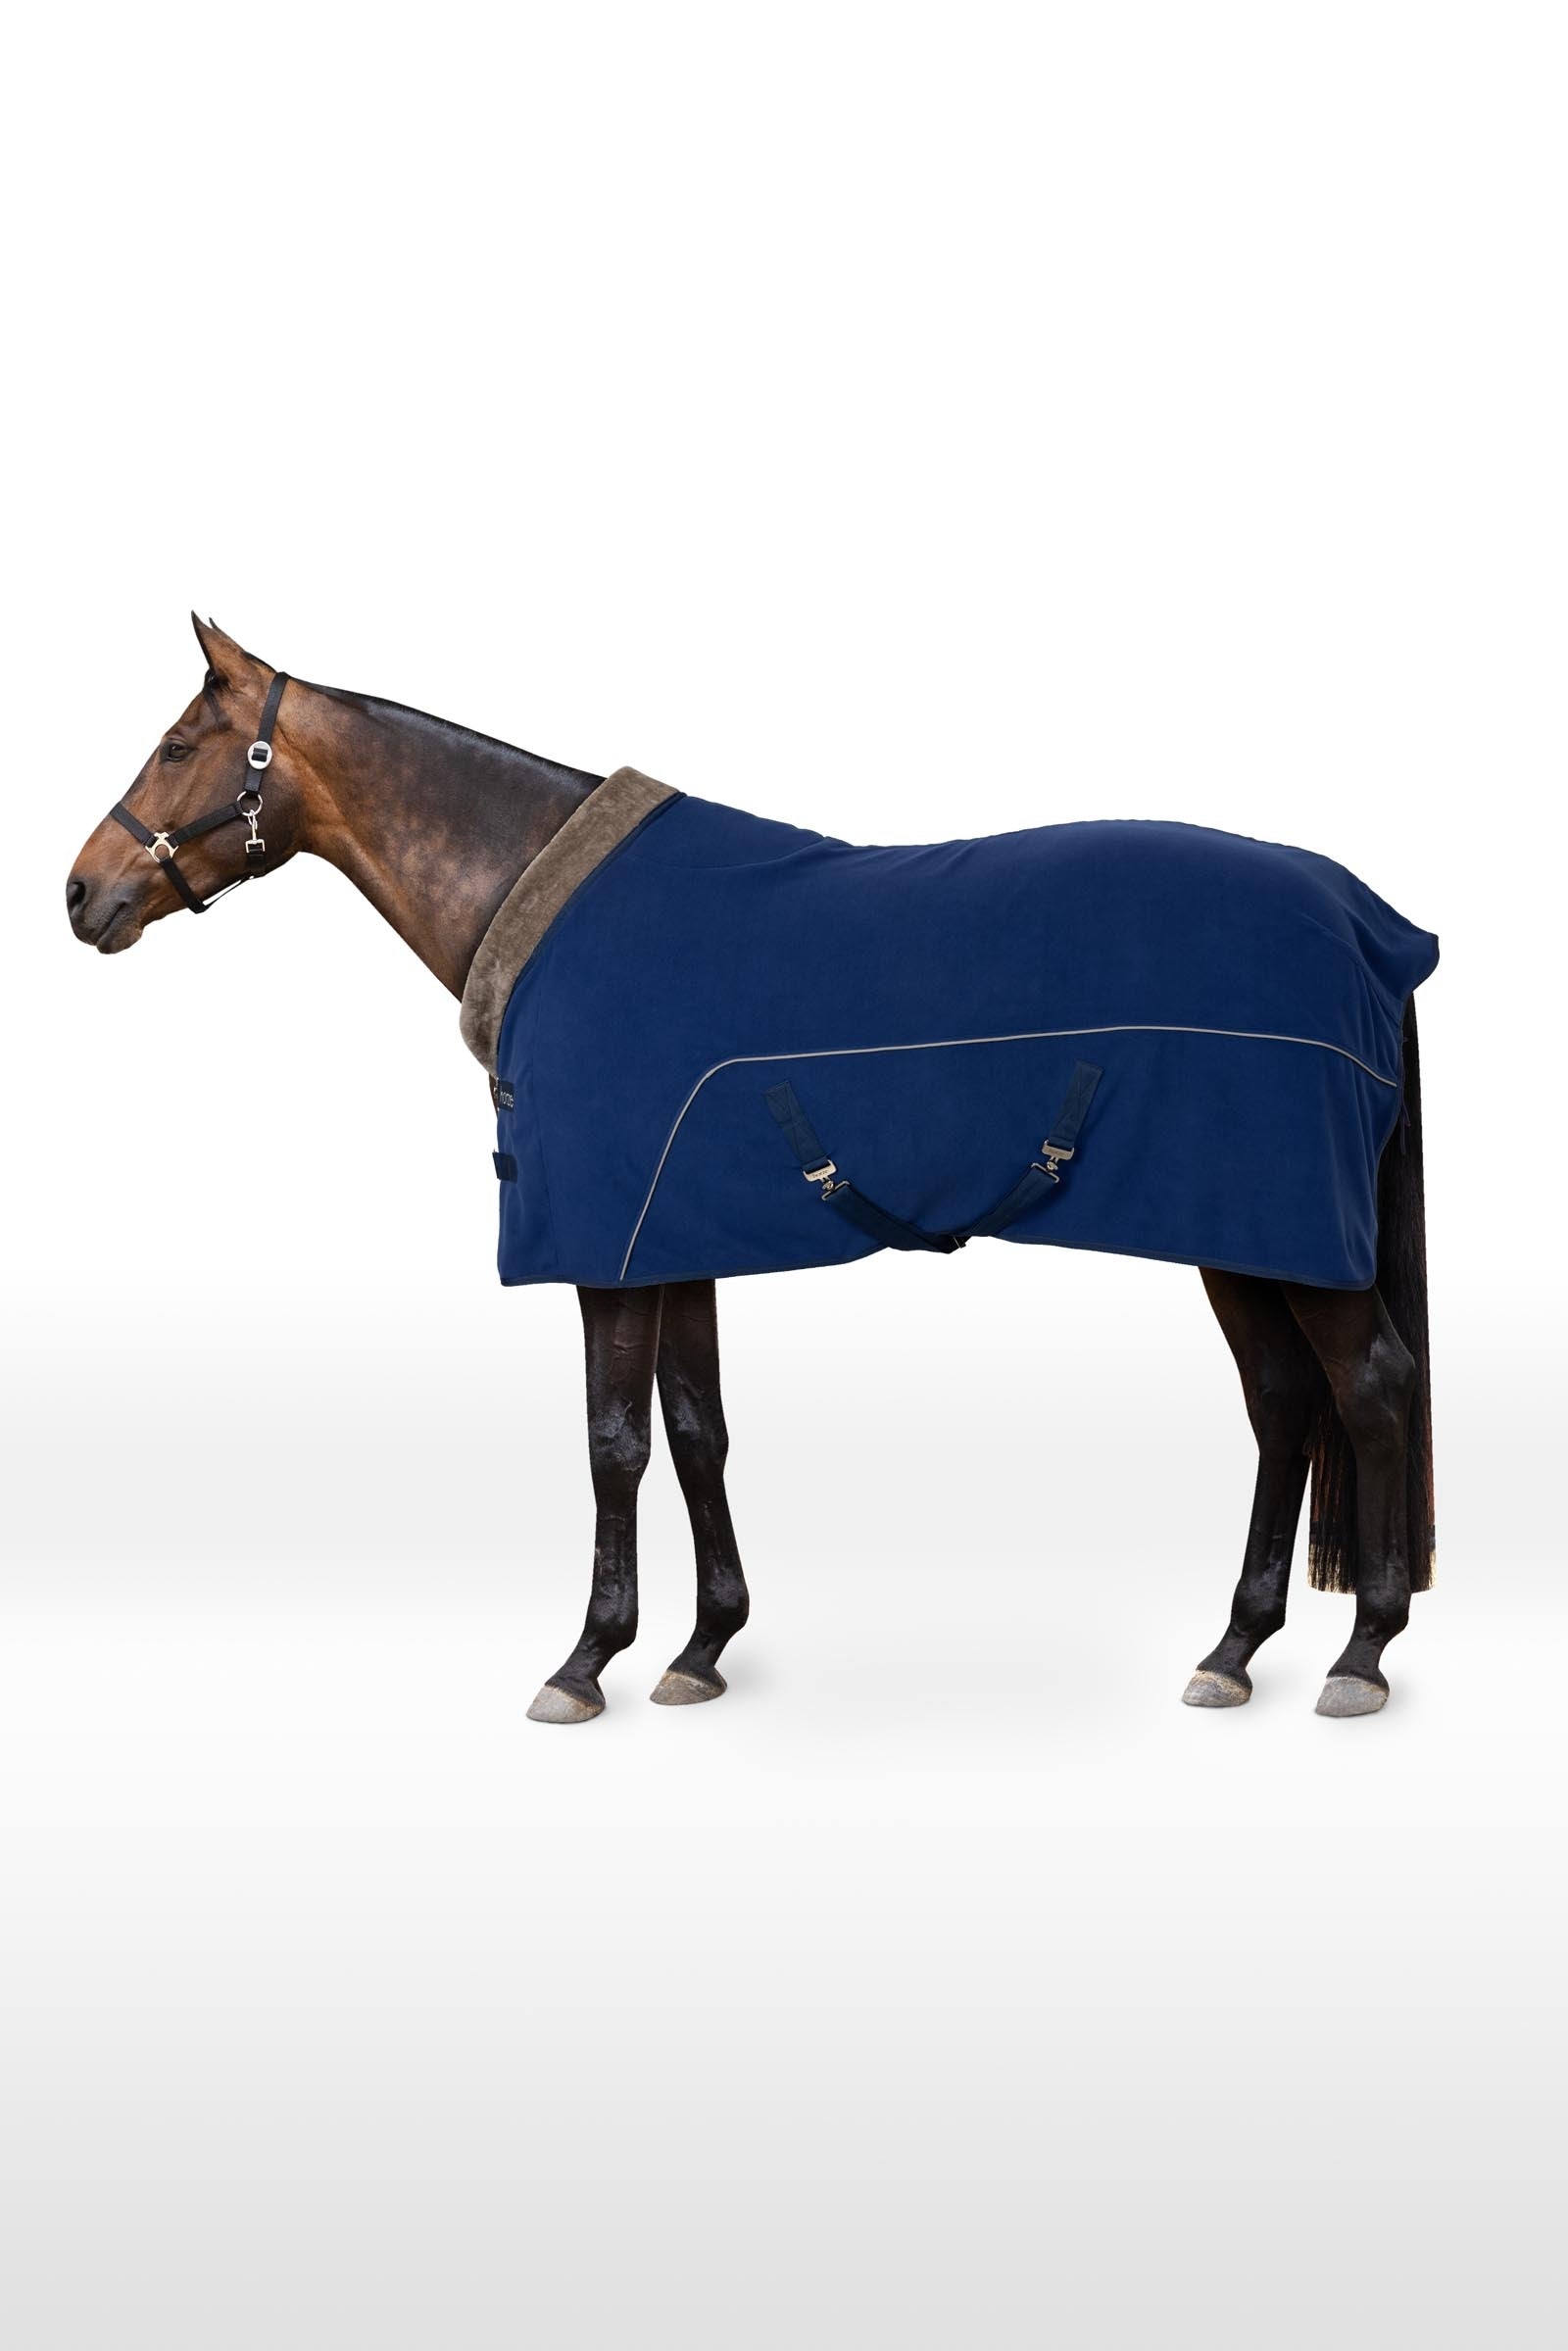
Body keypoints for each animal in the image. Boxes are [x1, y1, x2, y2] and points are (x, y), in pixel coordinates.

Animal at [66, 617, 1435, 1724]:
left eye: (179, 746)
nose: (81, 893)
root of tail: (1368, 921)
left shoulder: (606, 1246)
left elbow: (613, 1439)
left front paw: (587, 1660)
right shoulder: (674, 1235)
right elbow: (696, 1428)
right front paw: (701, 1646)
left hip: (1287, 1239)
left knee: (1368, 1388)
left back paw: (1361, 1652)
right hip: (1237, 1233)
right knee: (1284, 1402)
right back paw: (1235, 1646)